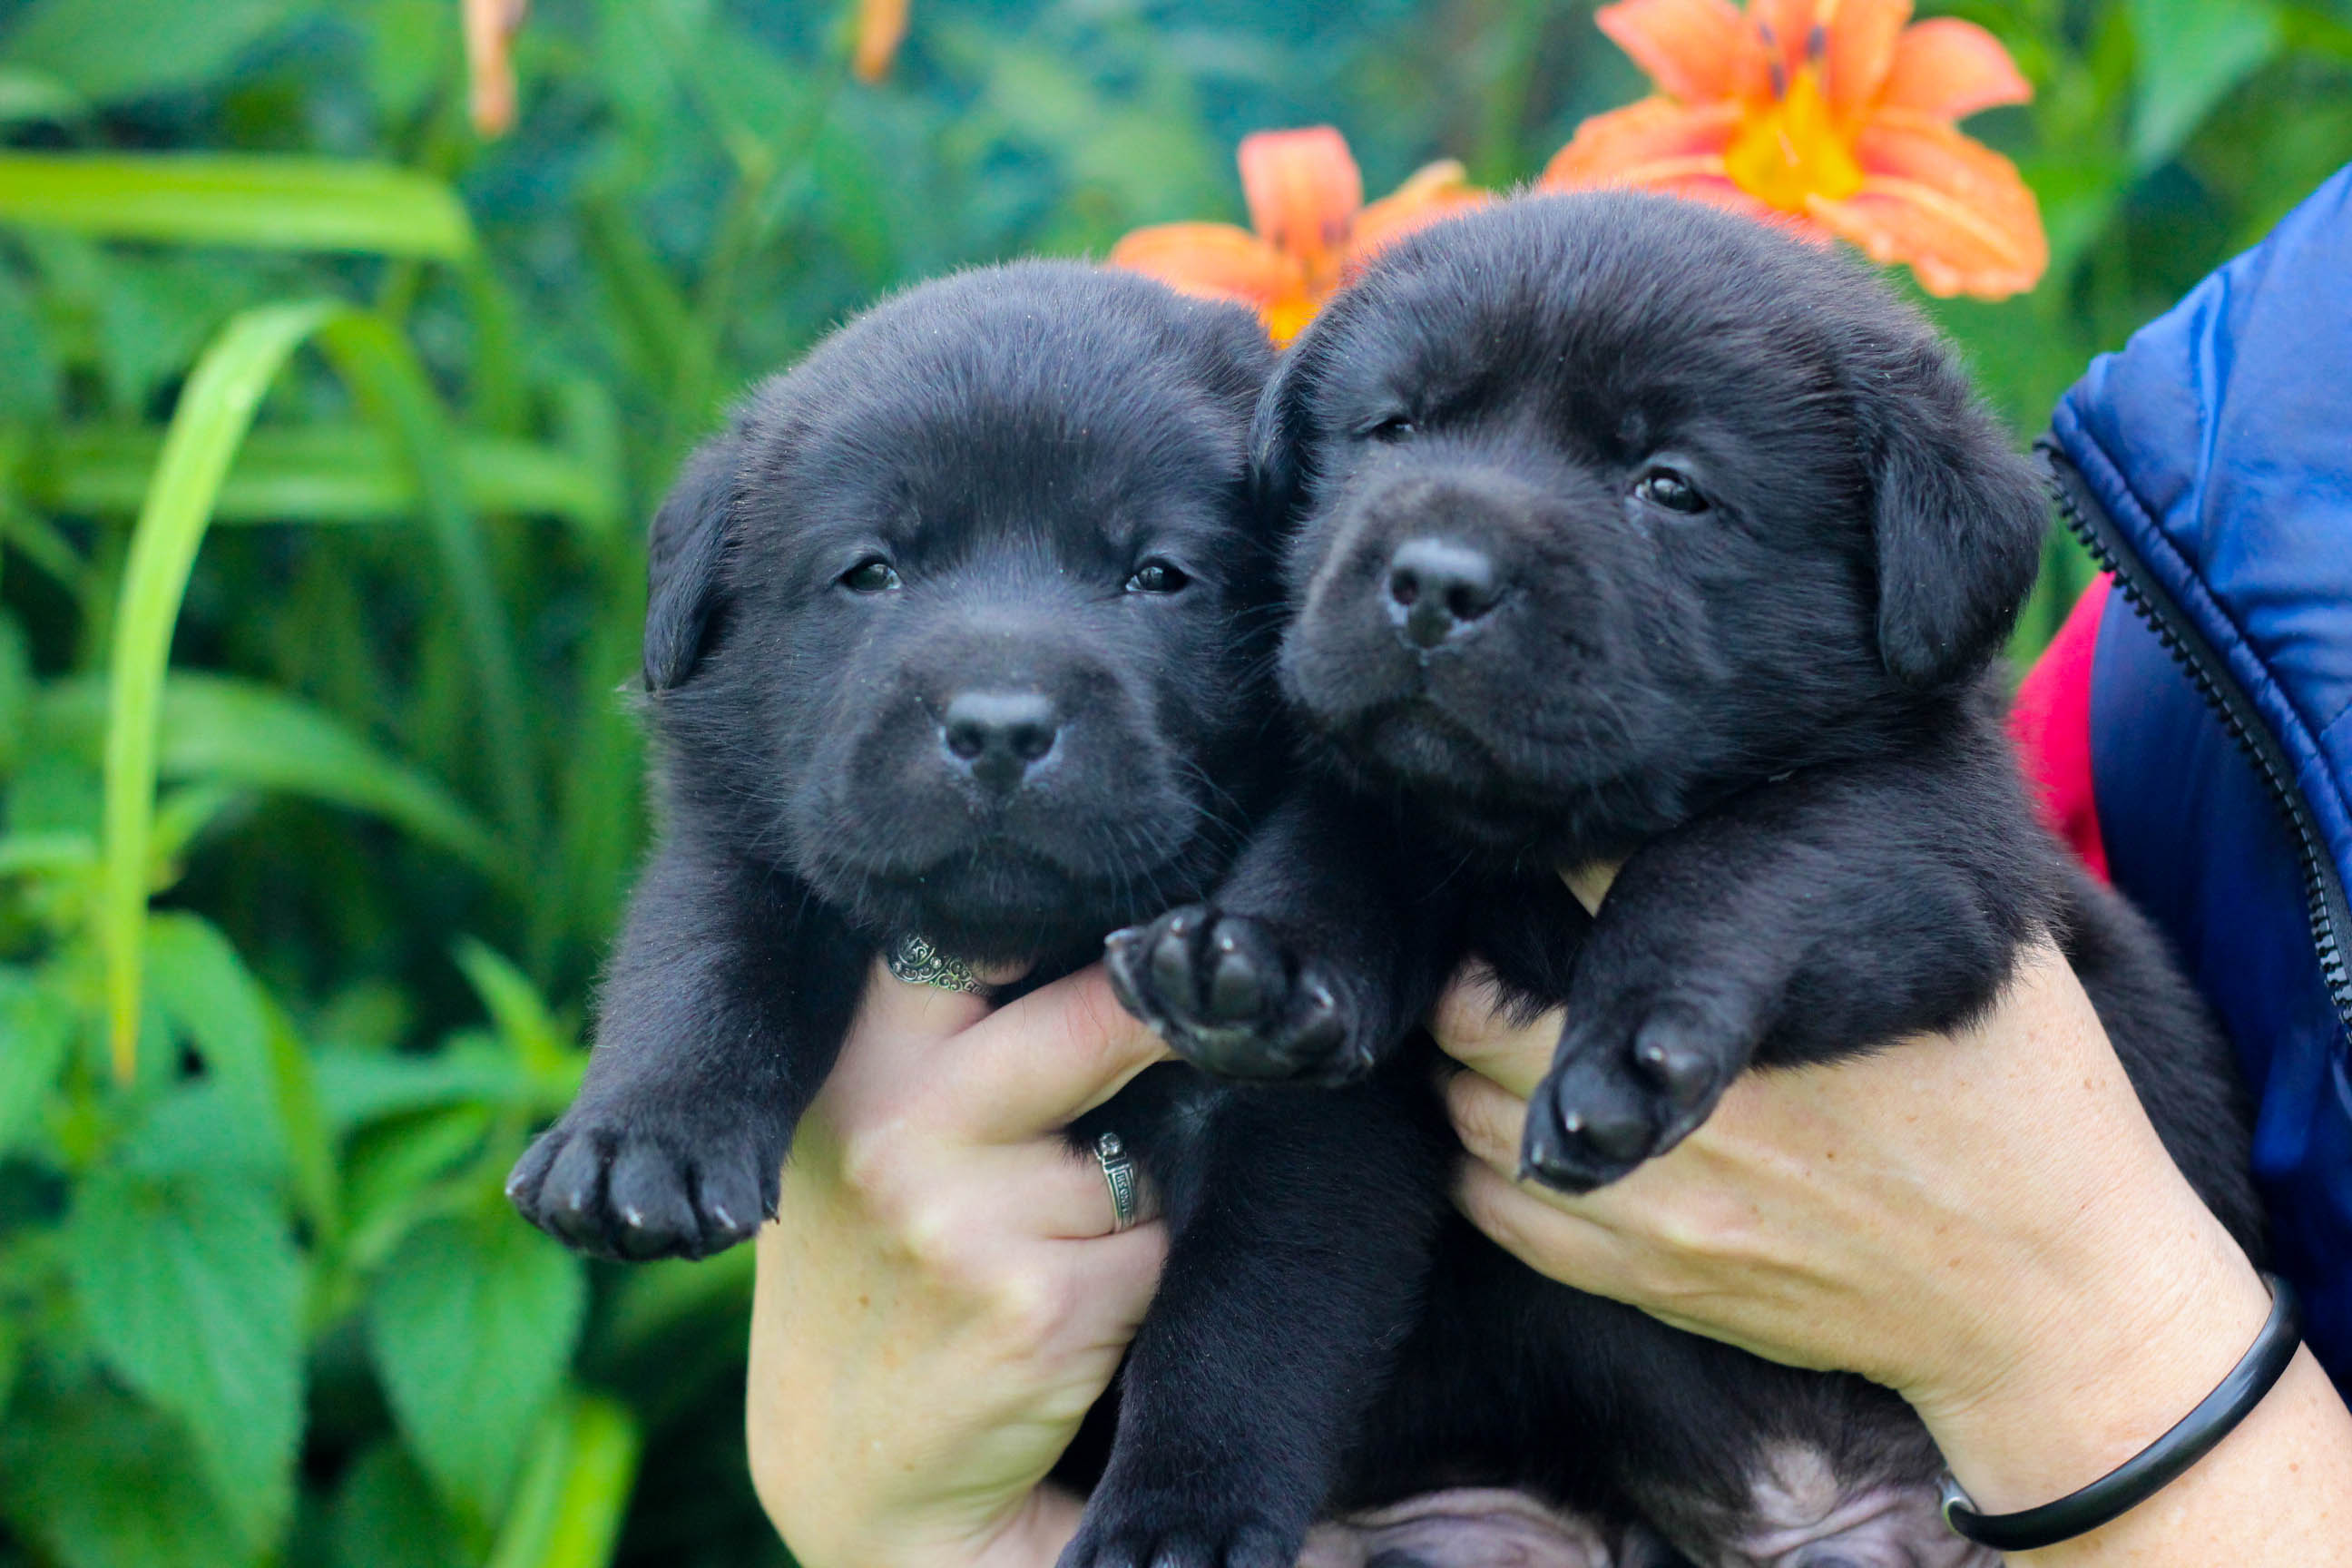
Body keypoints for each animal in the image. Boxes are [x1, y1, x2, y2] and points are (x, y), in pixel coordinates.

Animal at [503, 260, 1279, 1259]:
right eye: (871, 571)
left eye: (1158, 574)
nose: (999, 732)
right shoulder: (738, 835)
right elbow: (702, 956)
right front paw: (641, 1144)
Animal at [1101, 200, 2258, 1568]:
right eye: (1394, 429)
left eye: (1671, 488)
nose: (1434, 579)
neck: (1535, 848)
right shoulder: (1396, 786)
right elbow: (1339, 833)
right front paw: (1252, 965)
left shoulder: (1937, 837)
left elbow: (1741, 855)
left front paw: (1630, 1049)